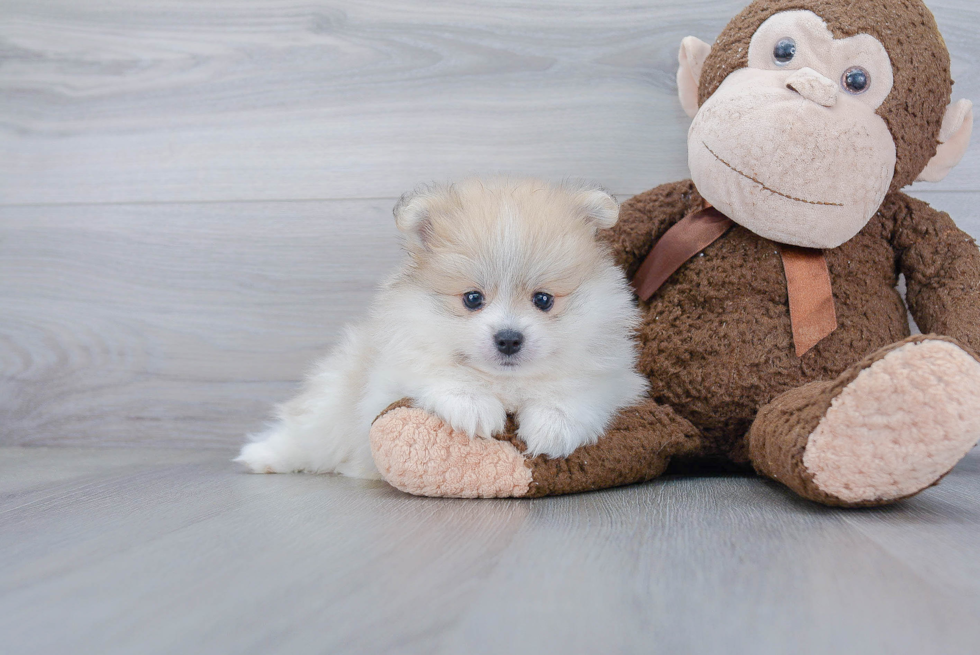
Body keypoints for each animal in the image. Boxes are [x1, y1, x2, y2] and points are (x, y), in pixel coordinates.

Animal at [235, 177, 652, 480]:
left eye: (543, 300)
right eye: (472, 299)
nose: (508, 339)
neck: (505, 383)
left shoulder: (615, 375)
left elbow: (577, 387)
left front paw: (554, 425)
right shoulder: (390, 374)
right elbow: (438, 370)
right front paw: (473, 404)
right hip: (334, 398)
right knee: (307, 432)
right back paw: (264, 456)